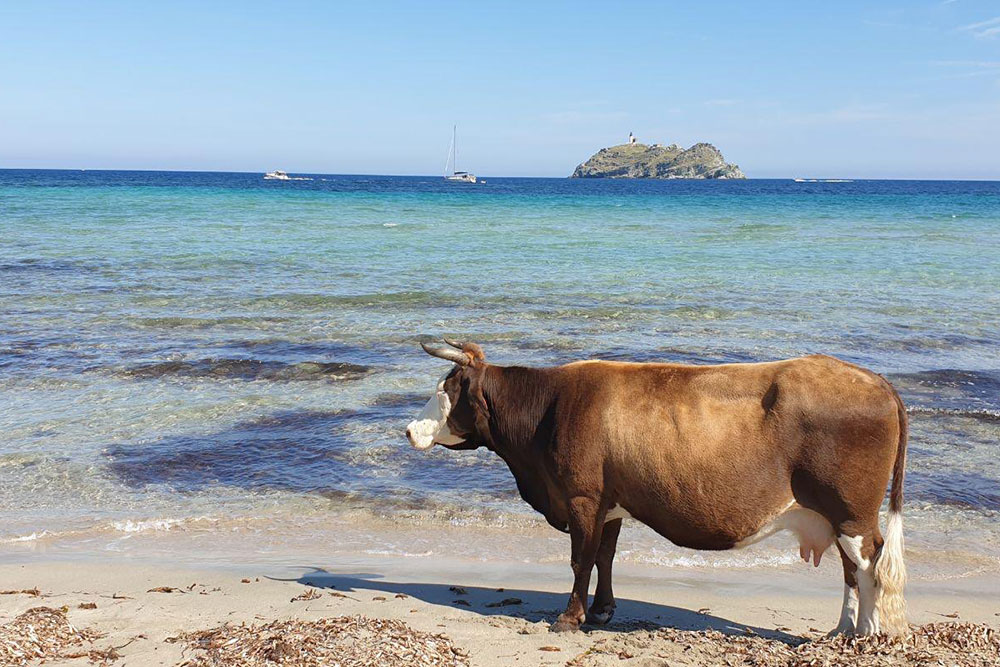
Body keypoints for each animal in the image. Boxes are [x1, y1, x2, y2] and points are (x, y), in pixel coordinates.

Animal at [405, 339, 907, 636]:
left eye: (446, 389)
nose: (409, 430)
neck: (551, 408)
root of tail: (875, 380)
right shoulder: (608, 504)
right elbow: (604, 556)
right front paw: (602, 610)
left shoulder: (582, 498)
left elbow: (581, 559)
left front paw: (570, 617)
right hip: (834, 514)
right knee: (852, 569)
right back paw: (841, 630)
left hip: (851, 511)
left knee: (869, 563)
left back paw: (866, 633)